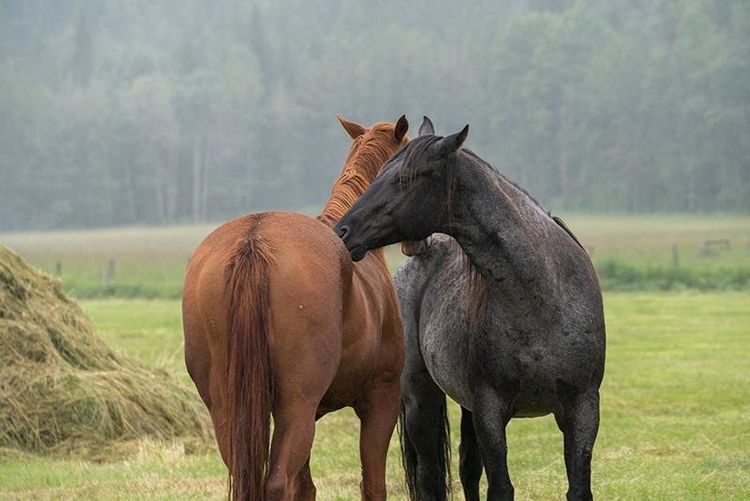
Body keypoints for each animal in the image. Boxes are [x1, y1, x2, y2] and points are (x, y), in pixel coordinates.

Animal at [182, 115, 409, 500]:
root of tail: (254, 239)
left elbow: (307, 486)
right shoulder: (381, 398)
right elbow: (372, 484)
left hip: (229, 408)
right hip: (297, 406)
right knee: (276, 483)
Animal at [335, 117, 606, 501]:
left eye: (403, 179)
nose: (343, 231)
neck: (540, 298)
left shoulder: (583, 408)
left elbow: (578, 487)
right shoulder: (490, 411)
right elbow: (501, 487)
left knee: (467, 469)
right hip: (421, 400)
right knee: (431, 477)